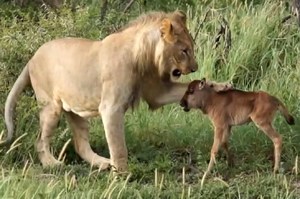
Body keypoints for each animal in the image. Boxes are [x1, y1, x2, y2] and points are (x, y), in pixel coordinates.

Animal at [1, 10, 232, 172]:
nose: (194, 67)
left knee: (80, 144)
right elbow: (118, 144)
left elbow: (188, 85)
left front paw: (221, 86)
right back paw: (53, 164)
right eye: (184, 50)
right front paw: (122, 173)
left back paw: (102, 163)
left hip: (77, 110)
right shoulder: (111, 107)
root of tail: (32, 57)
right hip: (51, 107)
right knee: (40, 140)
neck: (145, 57)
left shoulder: (158, 92)